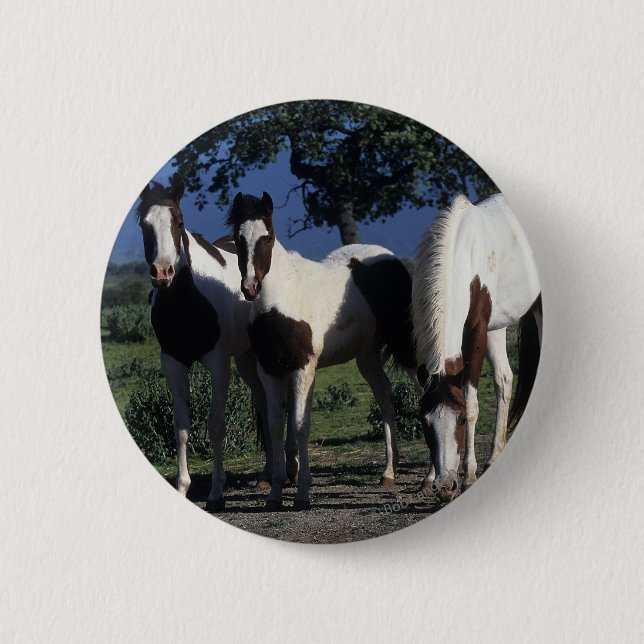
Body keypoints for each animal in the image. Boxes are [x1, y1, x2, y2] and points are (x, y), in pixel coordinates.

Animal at [135, 174, 298, 510]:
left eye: (179, 221)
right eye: (144, 224)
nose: (162, 272)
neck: (187, 303)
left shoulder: (218, 364)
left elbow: (216, 424)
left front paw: (216, 492)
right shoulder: (173, 364)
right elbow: (181, 426)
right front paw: (183, 486)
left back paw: (291, 469)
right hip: (248, 360)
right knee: (264, 406)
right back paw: (266, 475)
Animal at [225, 191, 418, 510]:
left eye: (267, 238)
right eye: (238, 239)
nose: (250, 288)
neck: (280, 300)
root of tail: (391, 259)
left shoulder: (303, 368)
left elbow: (300, 424)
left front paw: (302, 494)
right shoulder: (269, 369)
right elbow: (276, 425)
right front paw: (275, 494)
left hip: (406, 346)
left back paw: (435, 475)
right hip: (367, 356)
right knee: (385, 398)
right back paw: (389, 472)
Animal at [412, 193, 542, 502]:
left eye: (459, 421)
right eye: (425, 423)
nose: (446, 487)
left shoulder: (476, 331)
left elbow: (471, 401)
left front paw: (468, 474)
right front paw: (428, 477)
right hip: (497, 327)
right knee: (504, 379)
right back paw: (494, 456)